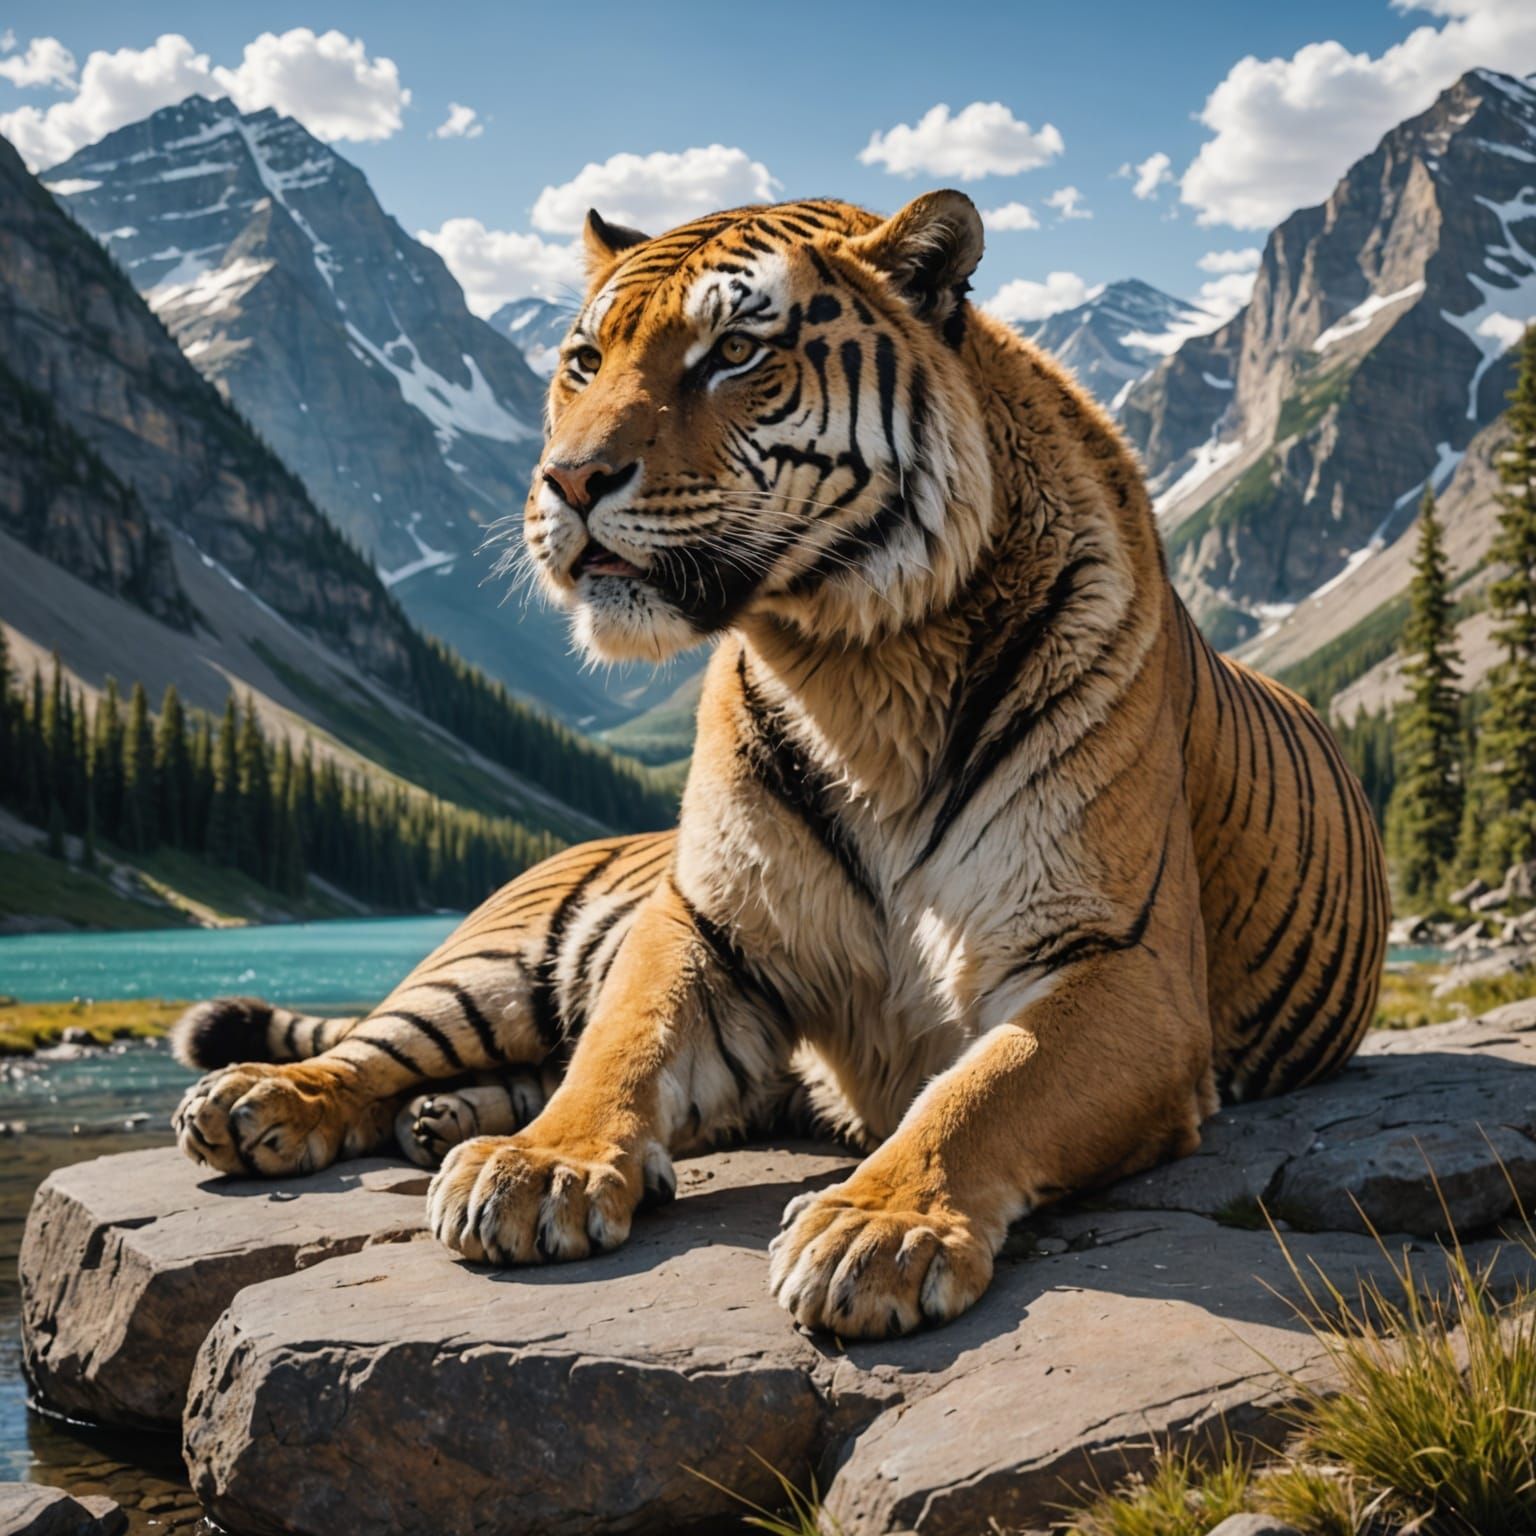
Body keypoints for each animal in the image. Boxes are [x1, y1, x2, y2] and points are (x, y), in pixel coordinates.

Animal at [169, 190, 1389, 1338]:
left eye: (733, 353)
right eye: (583, 362)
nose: (569, 481)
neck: (856, 671)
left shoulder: (1117, 961)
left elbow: (987, 1088)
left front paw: (876, 1229)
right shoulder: (711, 928)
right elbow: (623, 1042)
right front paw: (540, 1166)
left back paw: (438, 1122)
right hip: (485, 972)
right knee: (373, 1049)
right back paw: (260, 1104)